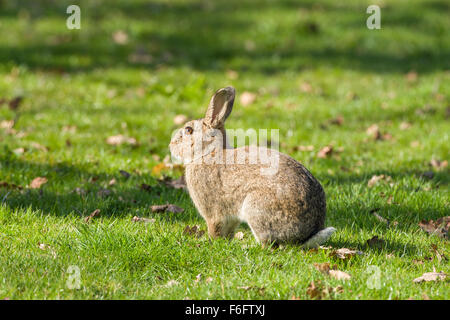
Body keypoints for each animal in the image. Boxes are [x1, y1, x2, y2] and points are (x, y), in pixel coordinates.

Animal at [171, 86, 336, 246]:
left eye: (188, 130)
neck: (208, 153)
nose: (171, 145)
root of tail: (306, 235)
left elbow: (215, 228)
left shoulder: (212, 212)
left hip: (256, 207)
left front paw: (212, 241)